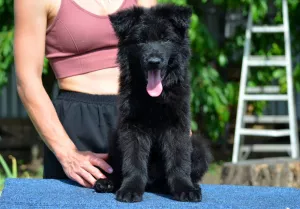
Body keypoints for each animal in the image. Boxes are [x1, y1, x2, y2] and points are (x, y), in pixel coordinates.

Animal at [93, 3, 211, 202]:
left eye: (165, 39)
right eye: (141, 41)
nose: (154, 62)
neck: (154, 98)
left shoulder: (177, 126)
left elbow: (179, 160)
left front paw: (185, 188)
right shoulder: (132, 127)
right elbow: (133, 161)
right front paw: (131, 188)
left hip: (199, 147)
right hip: (115, 137)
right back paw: (108, 182)